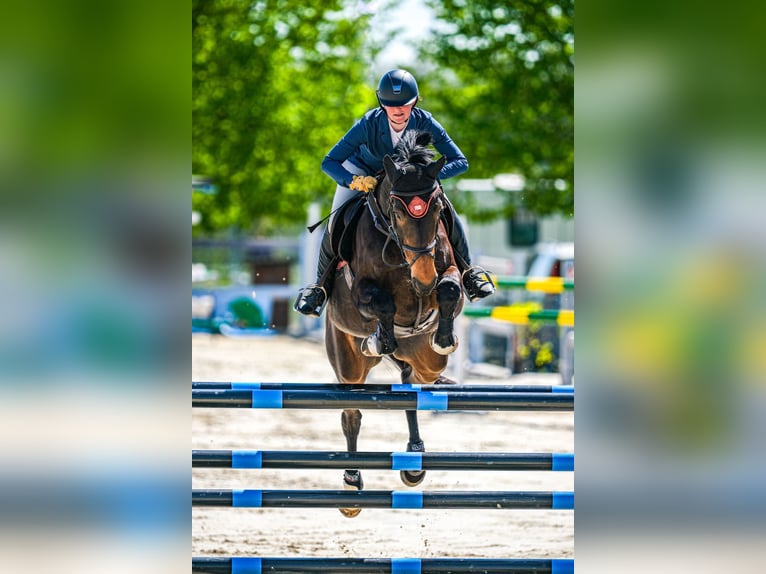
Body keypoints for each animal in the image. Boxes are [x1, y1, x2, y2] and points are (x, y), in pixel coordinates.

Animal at [324, 130, 464, 517]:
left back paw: (414, 460)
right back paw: (351, 482)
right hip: (347, 363)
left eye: (436, 208)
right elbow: (382, 301)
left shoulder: (448, 271)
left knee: (411, 386)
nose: (424, 277)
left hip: (426, 361)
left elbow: (450, 287)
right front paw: (380, 338)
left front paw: (444, 335)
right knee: (351, 414)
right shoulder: (361, 291)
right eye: (397, 211)